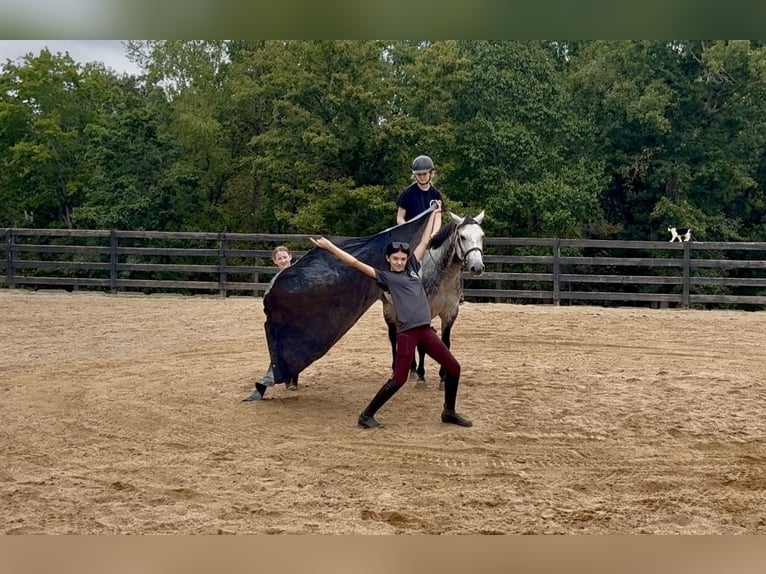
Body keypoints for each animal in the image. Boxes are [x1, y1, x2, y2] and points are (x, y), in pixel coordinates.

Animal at [382, 210, 486, 389]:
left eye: (482, 236)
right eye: (462, 237)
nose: (477, 268)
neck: (444, 276)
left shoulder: (451, 312)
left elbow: (445, 344)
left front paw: (443, 378)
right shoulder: (426, 311)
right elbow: (422, 345)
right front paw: (422, 378)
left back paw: (412, 369)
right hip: (388, 308)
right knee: (393, 337)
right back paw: (399, 369)